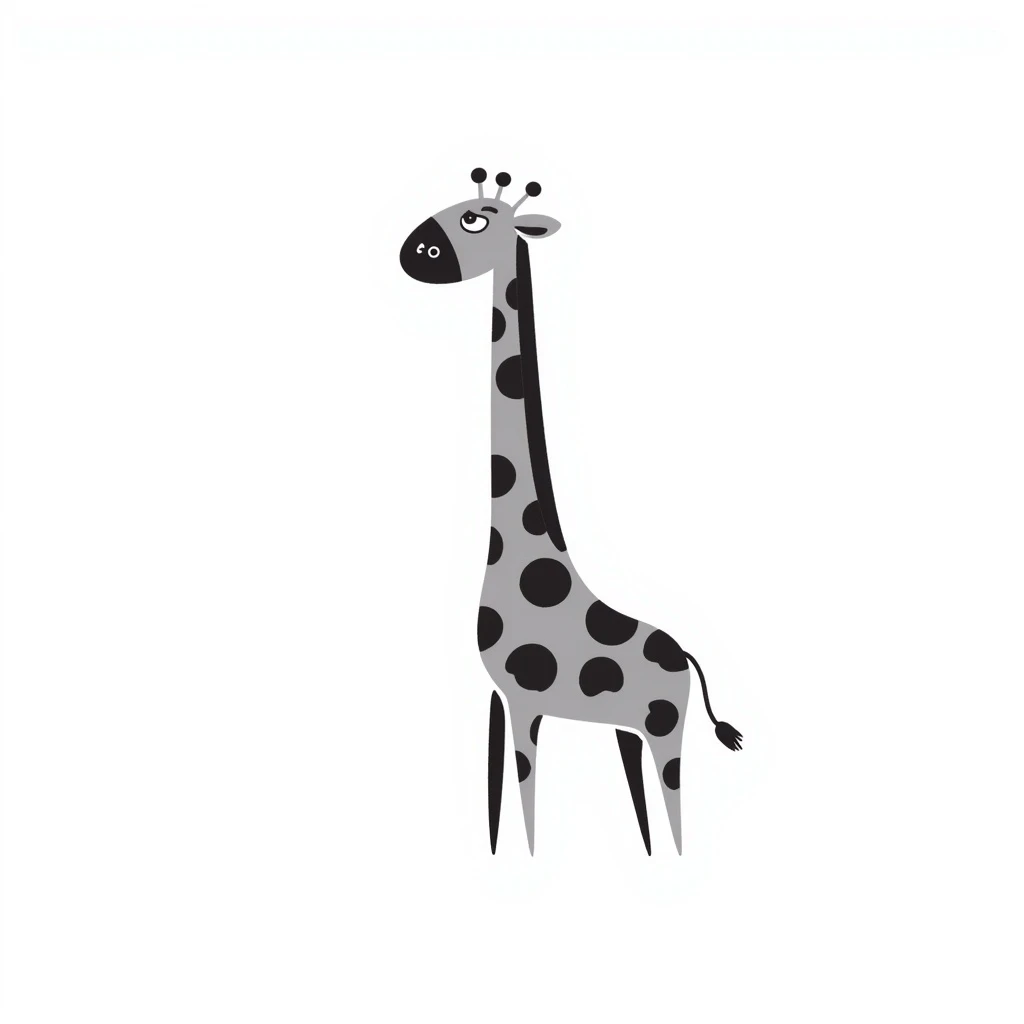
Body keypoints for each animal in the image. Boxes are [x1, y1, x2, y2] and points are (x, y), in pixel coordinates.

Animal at [400, 168, 742, 855]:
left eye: (475, 219)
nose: (413, 252)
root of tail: (685, 656)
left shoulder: (525, 702)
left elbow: (526, 800)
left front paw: (528, 859)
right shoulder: (498, 699)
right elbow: (494, 799)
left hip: (667, 729)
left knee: (674, 806)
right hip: (632, 729)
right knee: (645, 804)